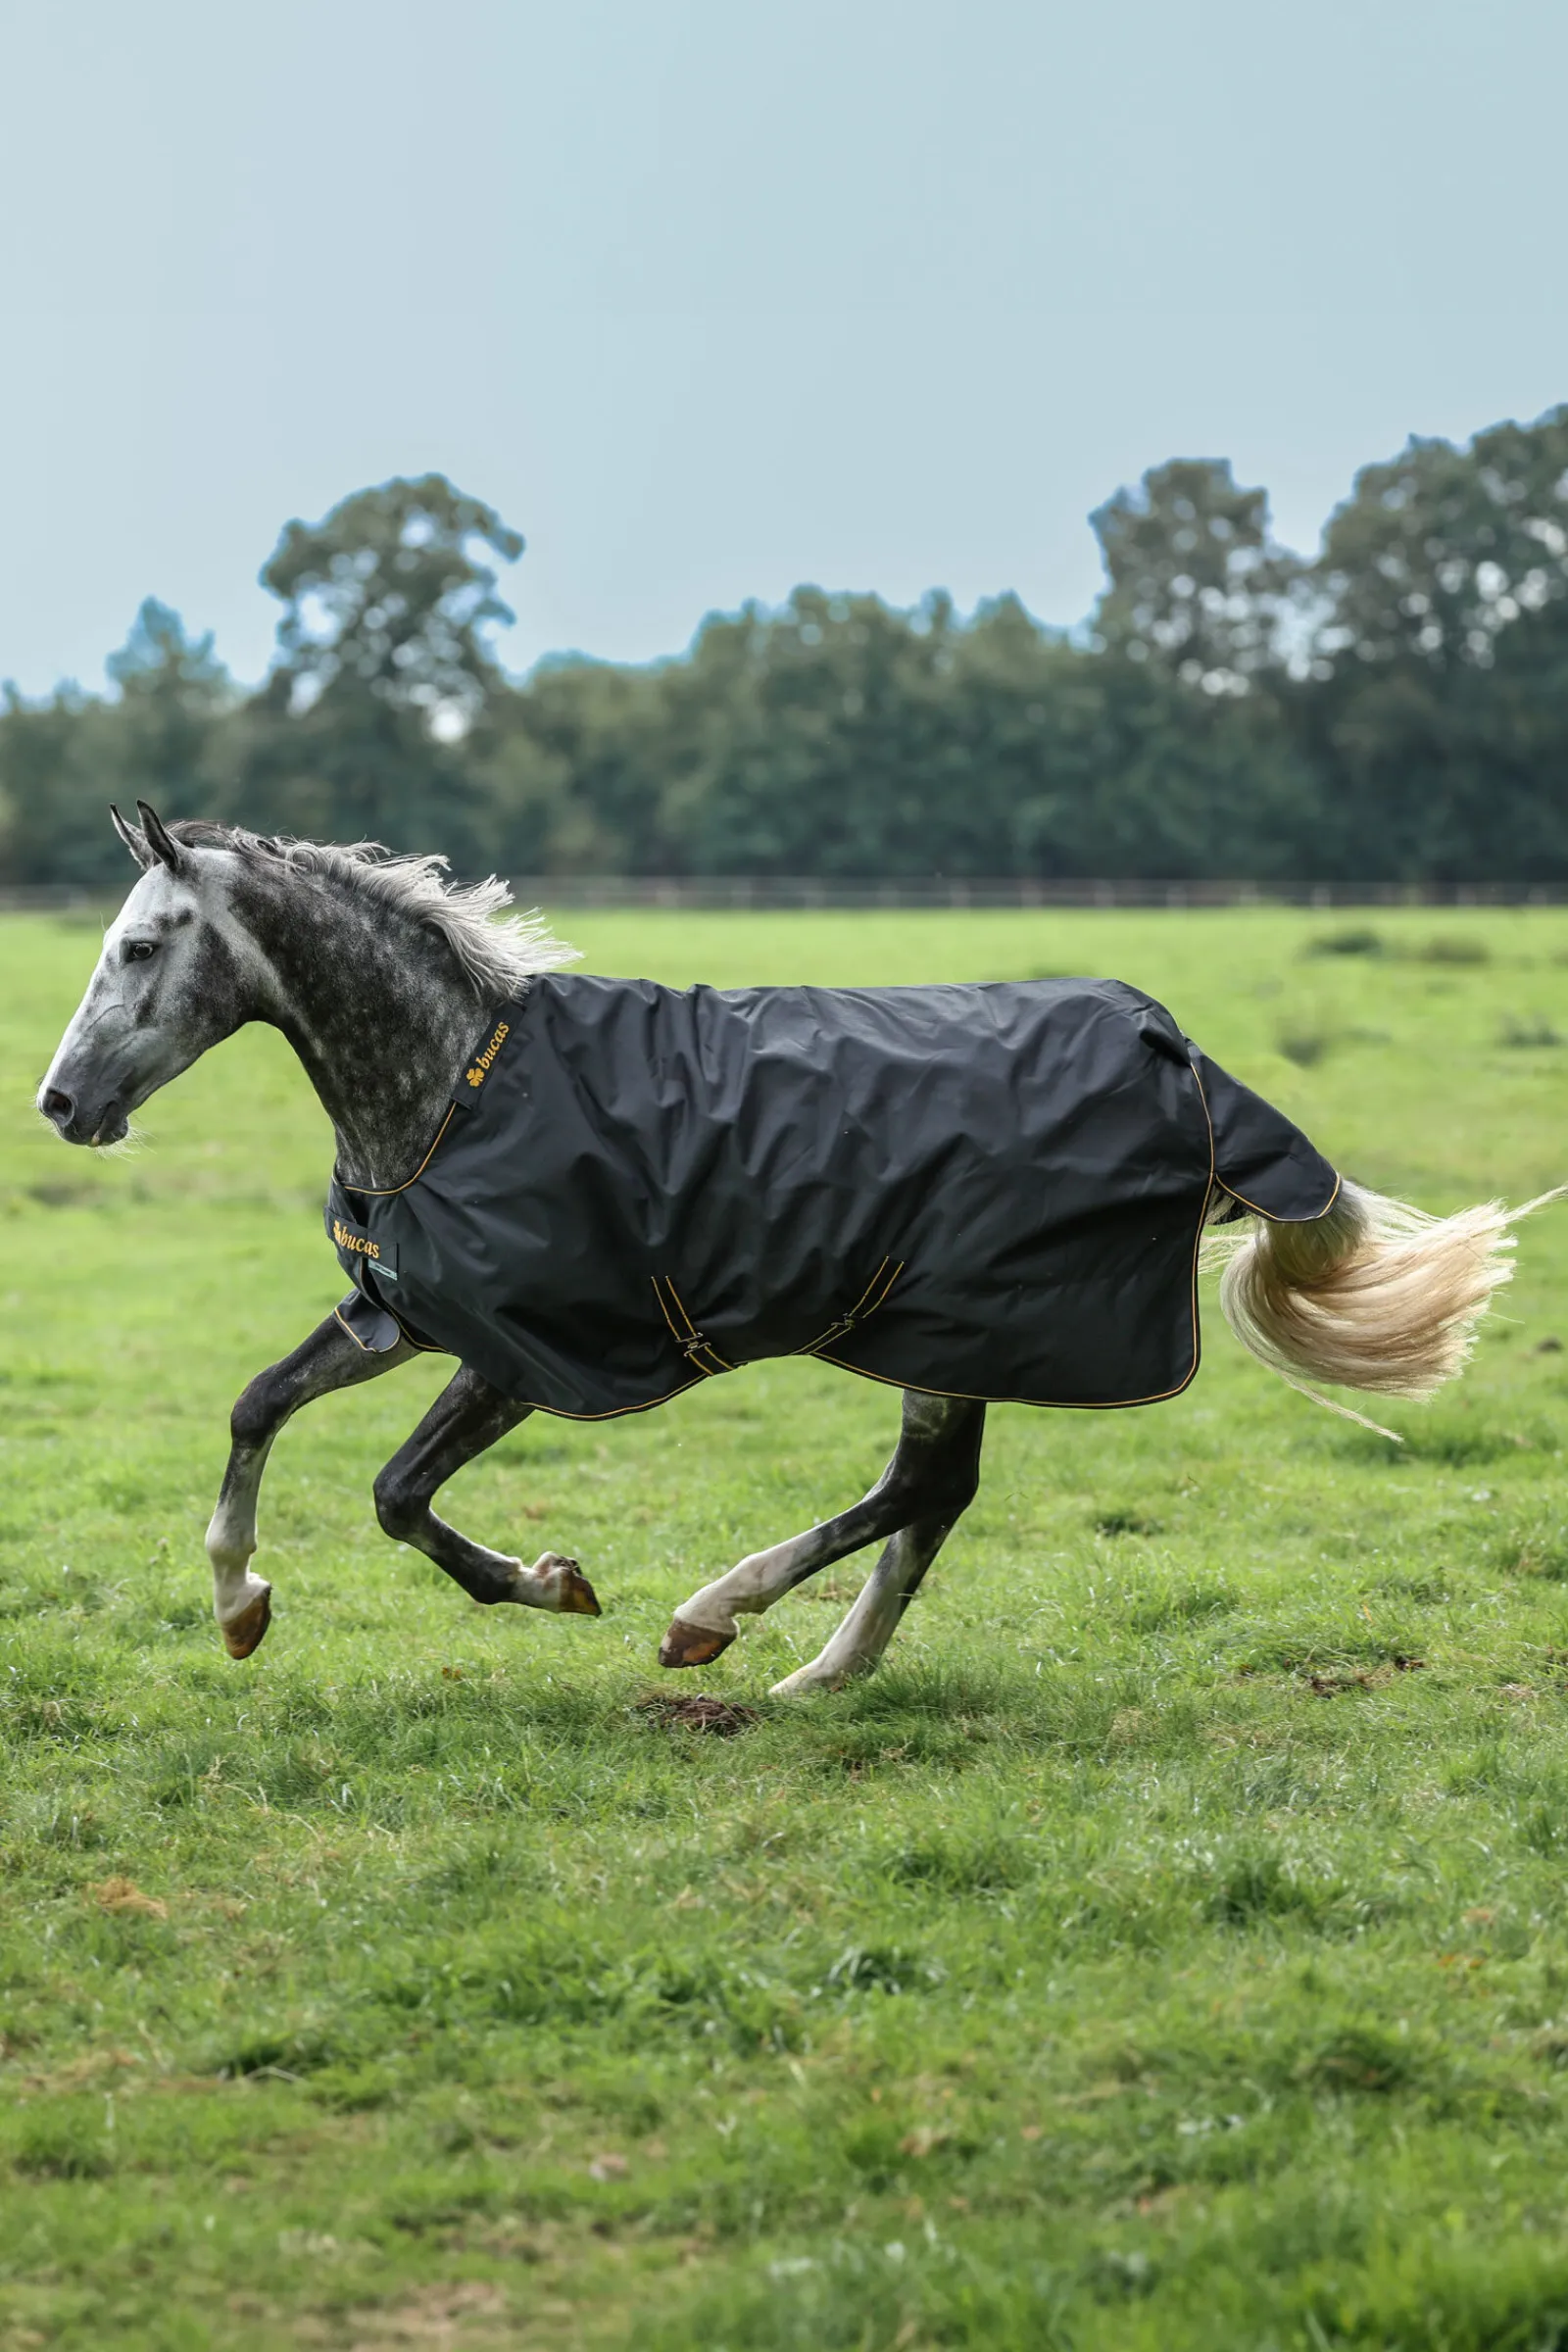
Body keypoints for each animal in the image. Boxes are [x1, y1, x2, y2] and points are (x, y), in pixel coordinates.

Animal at [37, 803, 1531, 1695]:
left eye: (143, 945)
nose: (60, 1104)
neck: (457, 1083)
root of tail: (1191, 1067)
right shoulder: (407, 1313)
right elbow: (255, 1407)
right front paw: (239, 1603)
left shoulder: (527, 1350)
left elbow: (400, 1495)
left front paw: (552, 1584)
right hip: (949, 1331)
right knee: (937, 1497)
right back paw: (826, 1670)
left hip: (949, 1322)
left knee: (922, 1489)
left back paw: (719, 1616)